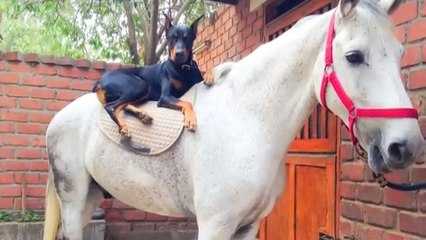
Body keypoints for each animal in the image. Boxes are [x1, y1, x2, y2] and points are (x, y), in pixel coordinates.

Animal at [42, 0, 422, 239]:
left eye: (399, 54)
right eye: (354, 56)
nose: (406, 146)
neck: (248, 120)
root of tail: (61, 117)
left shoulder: (248, 226)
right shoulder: (215, 225)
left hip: (90, 197)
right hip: (73, 197)